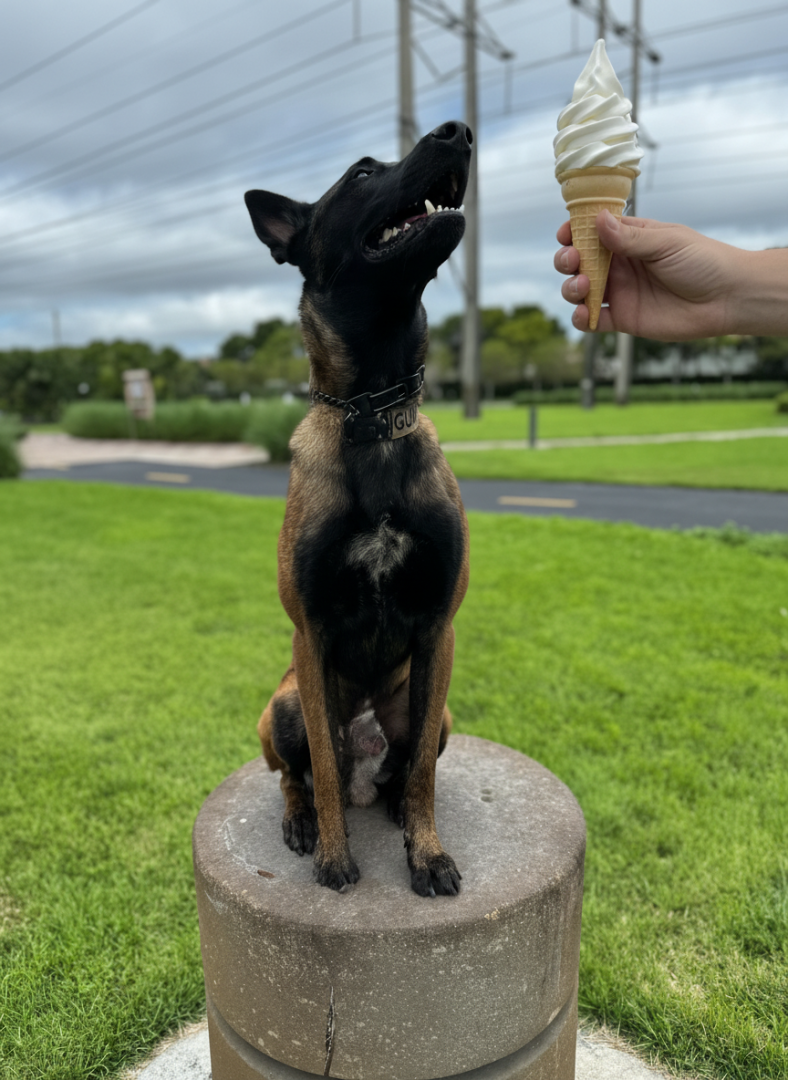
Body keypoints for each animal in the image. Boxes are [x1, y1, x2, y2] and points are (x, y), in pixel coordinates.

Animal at [245, 121, 472, 897]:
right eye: (363, 173)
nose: (459, 132)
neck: (372, 418)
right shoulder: (308, 638)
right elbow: (319, 757)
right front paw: (335, 857)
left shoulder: (438, 631)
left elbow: (426, 774)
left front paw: (427, 852)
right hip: (282, 703)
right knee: (304, 776)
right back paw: (304, 820)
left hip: (433, 709)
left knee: (406, 767)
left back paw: (397, 808)